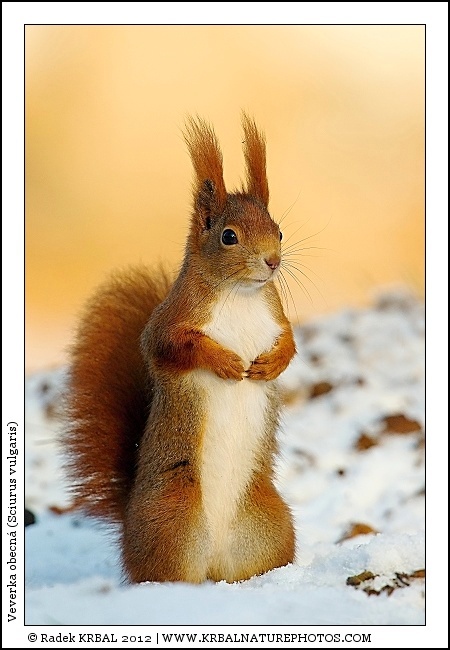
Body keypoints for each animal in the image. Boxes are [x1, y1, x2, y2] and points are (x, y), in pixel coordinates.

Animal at [64, 114, 297, 584]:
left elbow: (291, 343)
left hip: (268, 523)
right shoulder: (170, 323)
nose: (272, 262)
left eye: (279, 231)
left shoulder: (277, 318)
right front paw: (227, 362)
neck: (241, 294)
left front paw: (269, 366)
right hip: (172, 516)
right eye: (229, 236)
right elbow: (172, 347)